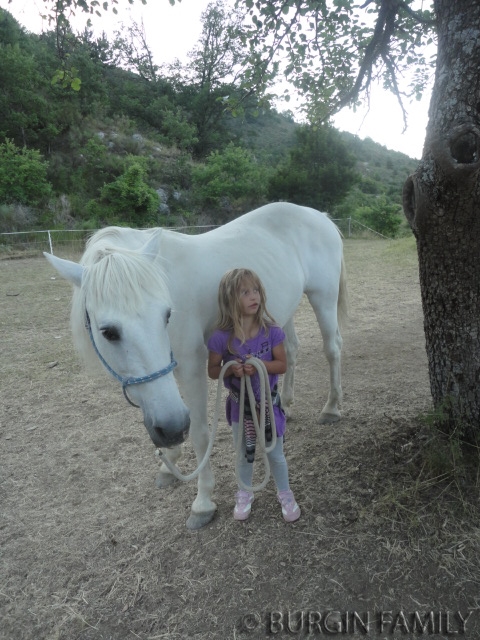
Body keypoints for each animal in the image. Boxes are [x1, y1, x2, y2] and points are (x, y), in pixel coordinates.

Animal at [45, 202, 344, 528]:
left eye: (167, 314)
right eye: (108, 332)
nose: (173, 430)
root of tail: (318, 215)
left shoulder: (192, 365)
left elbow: (199, 431)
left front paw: (203, 501)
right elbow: (166, 411)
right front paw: (169, 463)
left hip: (323, 298)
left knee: (332, 349)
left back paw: (331, 408)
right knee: (290, 351)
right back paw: (286, 405)